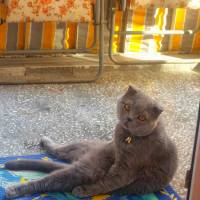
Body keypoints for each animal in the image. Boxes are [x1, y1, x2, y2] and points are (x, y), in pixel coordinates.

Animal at [4, 85, 177, 198]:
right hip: (83, 145)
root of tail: (79, 159)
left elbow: (105, 183)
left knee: (48, 180)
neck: (127, 138)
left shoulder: (125, 171)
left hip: (83, 168)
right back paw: (45, 141)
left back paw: (13, 190)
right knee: (59, 151)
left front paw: (83, 191)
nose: (129, 119)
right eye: (127, 106)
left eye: (141, 117)